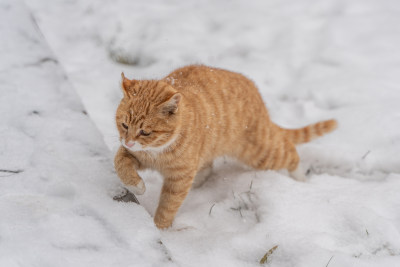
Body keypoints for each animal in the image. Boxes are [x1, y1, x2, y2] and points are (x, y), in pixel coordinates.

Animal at [113, 65, 338, 230]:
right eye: (124, 125)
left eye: (145, 132)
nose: (129, 141)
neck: (156, 152)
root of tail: (257, 94)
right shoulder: (131, 154)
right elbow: (120, 164)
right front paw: (137, 186)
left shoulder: (179, 179)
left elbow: (168, 205)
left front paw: (158, 228)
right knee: (207, 166)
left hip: (260, 153)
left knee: (290, 152)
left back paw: (301, 179)